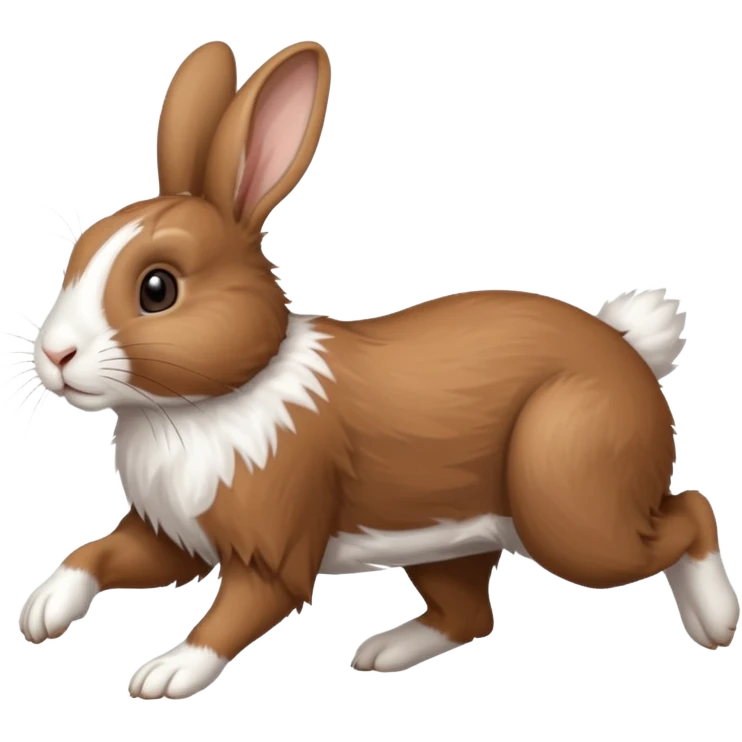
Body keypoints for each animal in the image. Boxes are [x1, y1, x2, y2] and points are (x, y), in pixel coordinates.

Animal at [17, 39, 739, 700]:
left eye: (157, 288)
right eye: (76, 255)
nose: (55, 356)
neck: (210, 402)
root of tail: (627, 349)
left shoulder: (273, 548)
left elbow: (234, 612)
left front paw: (165, 675)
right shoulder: (174, 537)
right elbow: (100, 553)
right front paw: (42, 610)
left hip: (569, 499)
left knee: (691, 512)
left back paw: (716, 622)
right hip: (448, 541)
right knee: (471, 614)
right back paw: (382, 652)